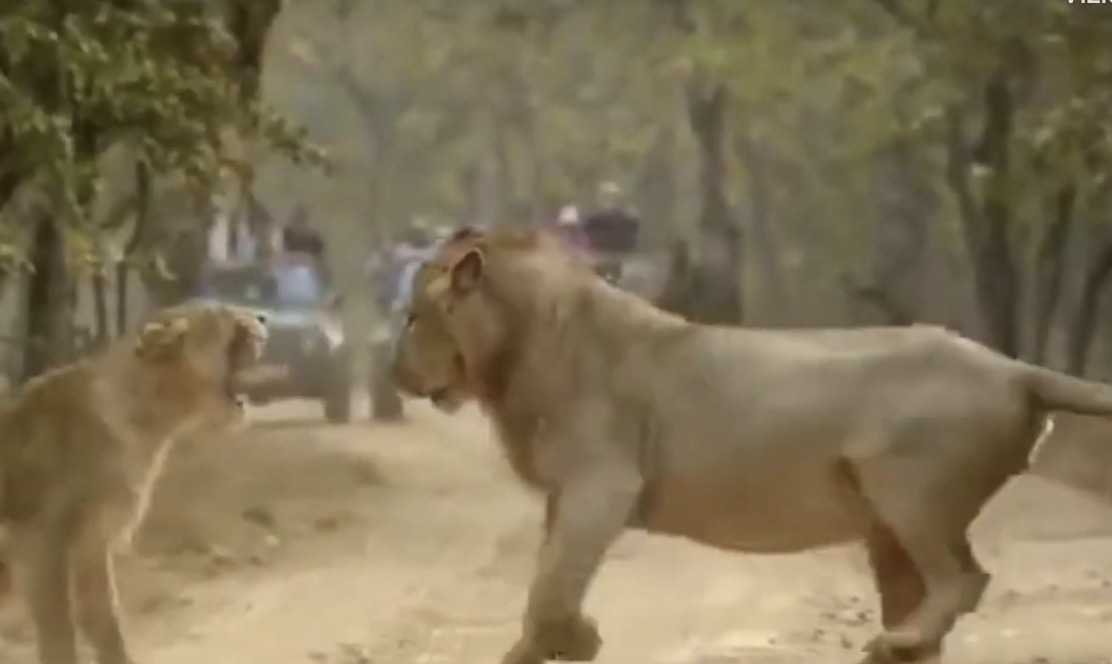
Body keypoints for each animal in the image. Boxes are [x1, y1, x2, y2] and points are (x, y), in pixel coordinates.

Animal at [0, 302, 266, 662]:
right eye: (224, 314)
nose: (264, 317)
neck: (153, 423)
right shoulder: (39, 538)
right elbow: (58, 629)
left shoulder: (92, 541)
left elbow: (103, 620)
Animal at [393, 225, 1112, 658]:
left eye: (412, 315)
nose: (396, 374)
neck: (516, 350)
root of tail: (1012, 368)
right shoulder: (566, 495)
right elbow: (547, 588)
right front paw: (573, 637)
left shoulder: (604, 485)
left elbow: (548, 592)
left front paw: (575, 638)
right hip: (888, 527)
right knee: (933, 594)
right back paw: (900, 644)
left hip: (908, 493)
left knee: (966, 578)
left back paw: (899, 641)